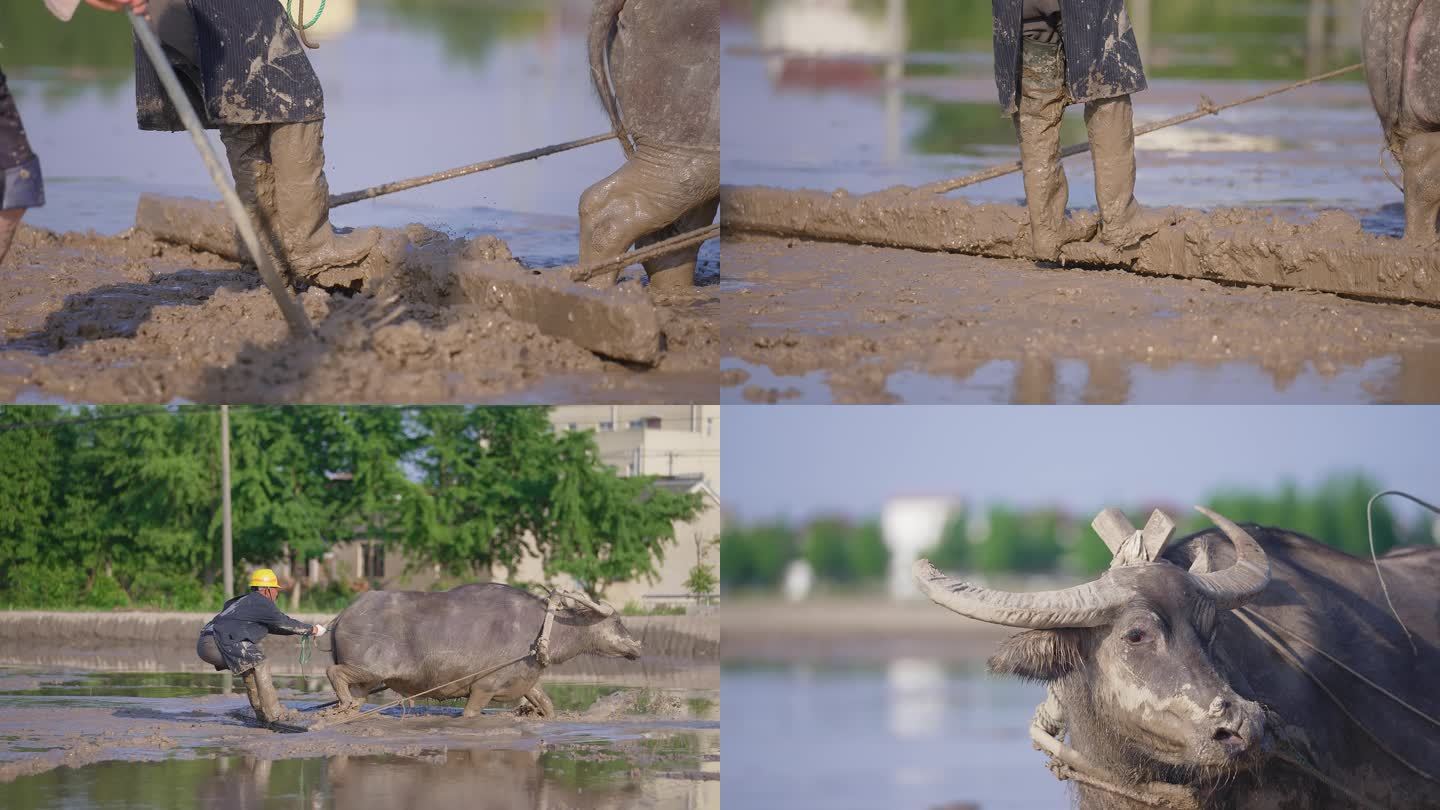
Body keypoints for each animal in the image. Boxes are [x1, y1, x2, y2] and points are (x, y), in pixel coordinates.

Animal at [329, 579, 645, 717]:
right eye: (618, 621)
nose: (637, 648)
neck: (542, 629)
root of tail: (342, 616)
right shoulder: (483, 687)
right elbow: (470, 713)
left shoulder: (524, 681)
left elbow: (547, 706)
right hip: (370, 672)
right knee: (334, 673)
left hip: (367, 683)